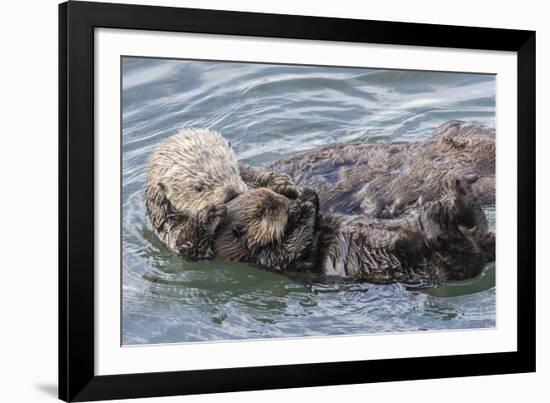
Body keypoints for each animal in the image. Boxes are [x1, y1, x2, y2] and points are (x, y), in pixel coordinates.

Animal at [144, 130, 300, 262]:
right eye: (198, 188)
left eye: (231, 169)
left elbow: (252, 173)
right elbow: (186, 245)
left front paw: (281, 184)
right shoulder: (167, 225)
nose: (232, 194)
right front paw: (210, 214)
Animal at [215, 174, 496, 284]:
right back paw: (439, 214)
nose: (285, 203)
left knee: (479, 233)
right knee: (458, 254)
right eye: (262, 212)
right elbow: (294, 245)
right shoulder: (272, 260)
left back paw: (459, 190)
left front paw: (301, 193)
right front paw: (305, 204)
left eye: (272, 196)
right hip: (439, 265)